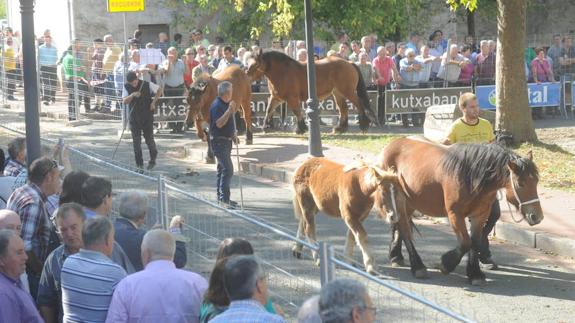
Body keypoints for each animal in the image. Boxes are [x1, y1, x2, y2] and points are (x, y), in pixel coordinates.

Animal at [246, 51, 378, 135]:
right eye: (248, 63)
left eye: (256, 64)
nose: (246, 75)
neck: (282, 71)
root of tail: (349, 63)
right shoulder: (276, 98)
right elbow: (269, 110)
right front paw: (265, 127)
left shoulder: (291, 98)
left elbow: (296, 112)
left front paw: (301, 129)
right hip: (338, 93)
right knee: (343, 109)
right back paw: (341, 128)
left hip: (348, 92)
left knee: (359, 104)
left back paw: (364, 125)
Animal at [378, 137, 544, 286]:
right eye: (521, 183)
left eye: (536, 181)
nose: (537, 216)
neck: (469, 176)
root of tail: (391, 145)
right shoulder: (455, 214)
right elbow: (465, 242)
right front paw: (446, 264)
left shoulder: (480, 215)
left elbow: (475, 242)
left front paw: (475, 274)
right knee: (405, 229)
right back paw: (417, 266)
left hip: (410, 203)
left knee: (399, 225)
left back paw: (396, 256)